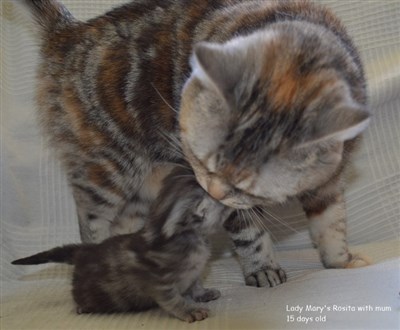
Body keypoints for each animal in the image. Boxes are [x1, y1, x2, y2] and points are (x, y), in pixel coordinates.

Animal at [11, 168, 228, 322]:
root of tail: (84, 250)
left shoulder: (195, 271)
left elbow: (195, 283)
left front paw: (202, 293)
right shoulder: (159, 282)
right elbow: (173, 299)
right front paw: (188, 310)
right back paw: (82, 306)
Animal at [21, 0, 370, 288]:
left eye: (249, 184)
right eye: (202, 159)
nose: (212, 192)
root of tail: (69, 32)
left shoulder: (329, 181)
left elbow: (332, 222)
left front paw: (341, 261)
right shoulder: (232, 207)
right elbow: (250, 233)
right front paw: (263, 268)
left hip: (138, 191)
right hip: (110, 169)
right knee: (91, 219)